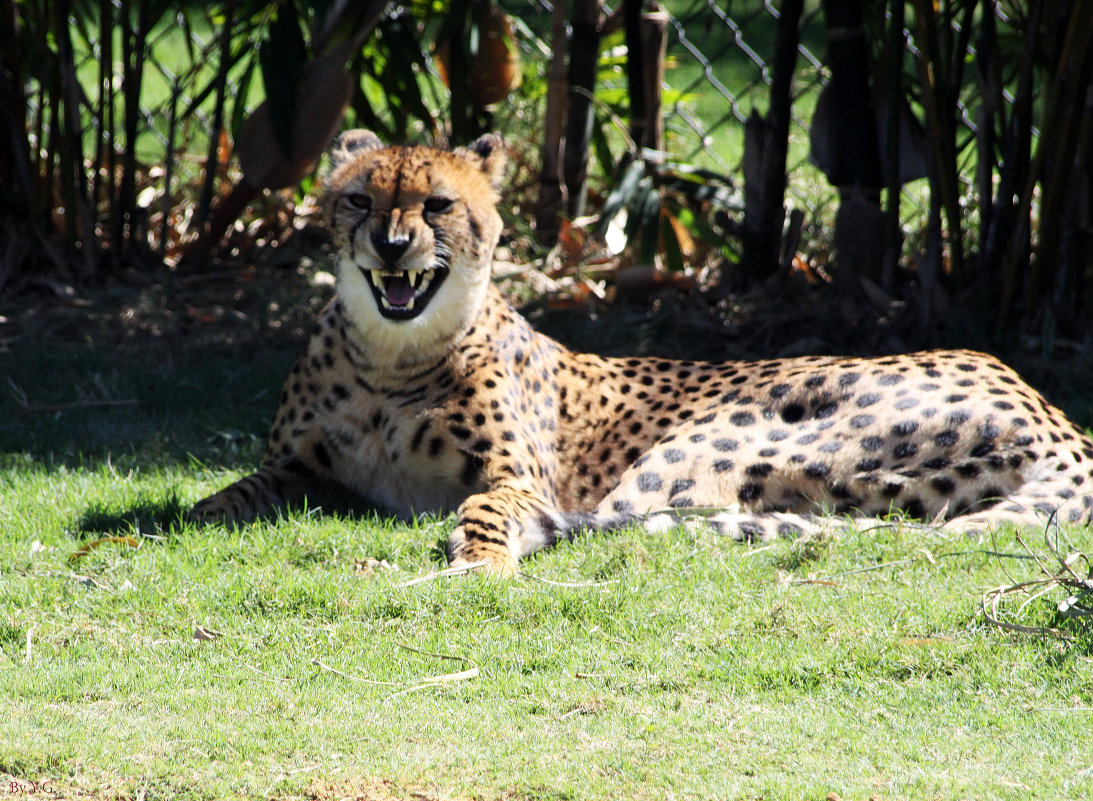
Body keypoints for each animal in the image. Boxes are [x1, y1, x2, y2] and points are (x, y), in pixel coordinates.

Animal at [192, 129, 1093, 576]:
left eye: (437, 204)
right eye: (359, 199)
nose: (389, 246)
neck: (391, 354)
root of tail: (1060, 420)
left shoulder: (525, 481)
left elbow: (487, 509)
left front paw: (480, 557)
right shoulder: (299, 468)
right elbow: (233, 491)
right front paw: (185, 518)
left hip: (685, 458)